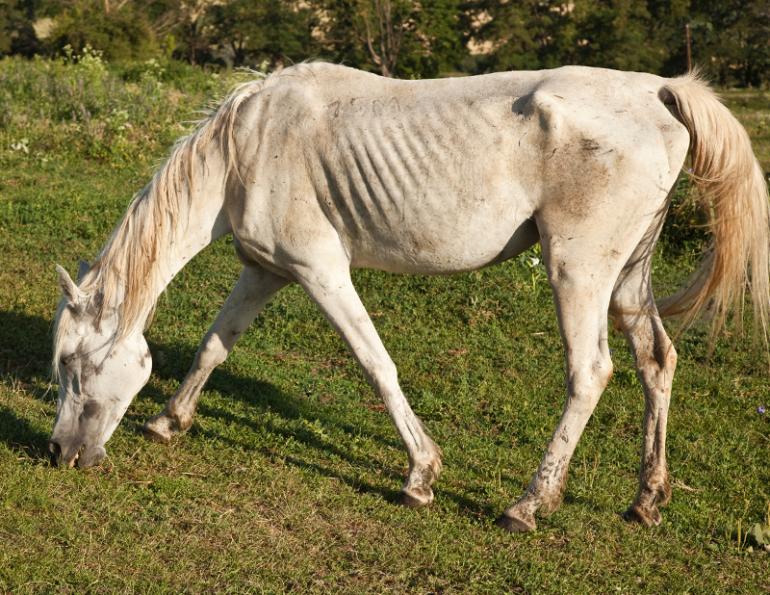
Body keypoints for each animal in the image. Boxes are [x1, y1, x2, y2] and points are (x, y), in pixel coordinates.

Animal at [51, 63, 769, 532]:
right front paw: (170, 419)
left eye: (76, 366)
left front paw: (420, 476)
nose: (60, 454)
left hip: (579, 271)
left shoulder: (321, 270)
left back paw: (528, 505)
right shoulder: (265, 270)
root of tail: (657, 90)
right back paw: (646, 499)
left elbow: (376, 364)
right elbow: (212, 347)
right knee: (656, 361)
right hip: (627, 278)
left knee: (590, 373)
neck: (246, 144)